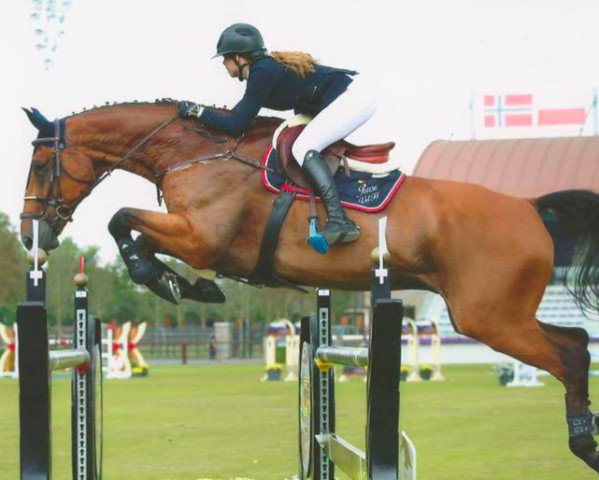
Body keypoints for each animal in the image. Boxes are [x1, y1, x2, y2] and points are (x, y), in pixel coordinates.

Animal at [18, 100, 599, 472]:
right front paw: (187, 286)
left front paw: (162, 279)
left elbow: (121, 220)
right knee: (575, 342)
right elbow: (129, 227)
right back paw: (585, 439)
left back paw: (583, 444)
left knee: (571, 354)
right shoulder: (197, 239)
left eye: (42, 162)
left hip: (489, 317)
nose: (31, 233)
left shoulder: (202, 240)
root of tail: (529, 206)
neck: (193, 152)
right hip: (495, 315)